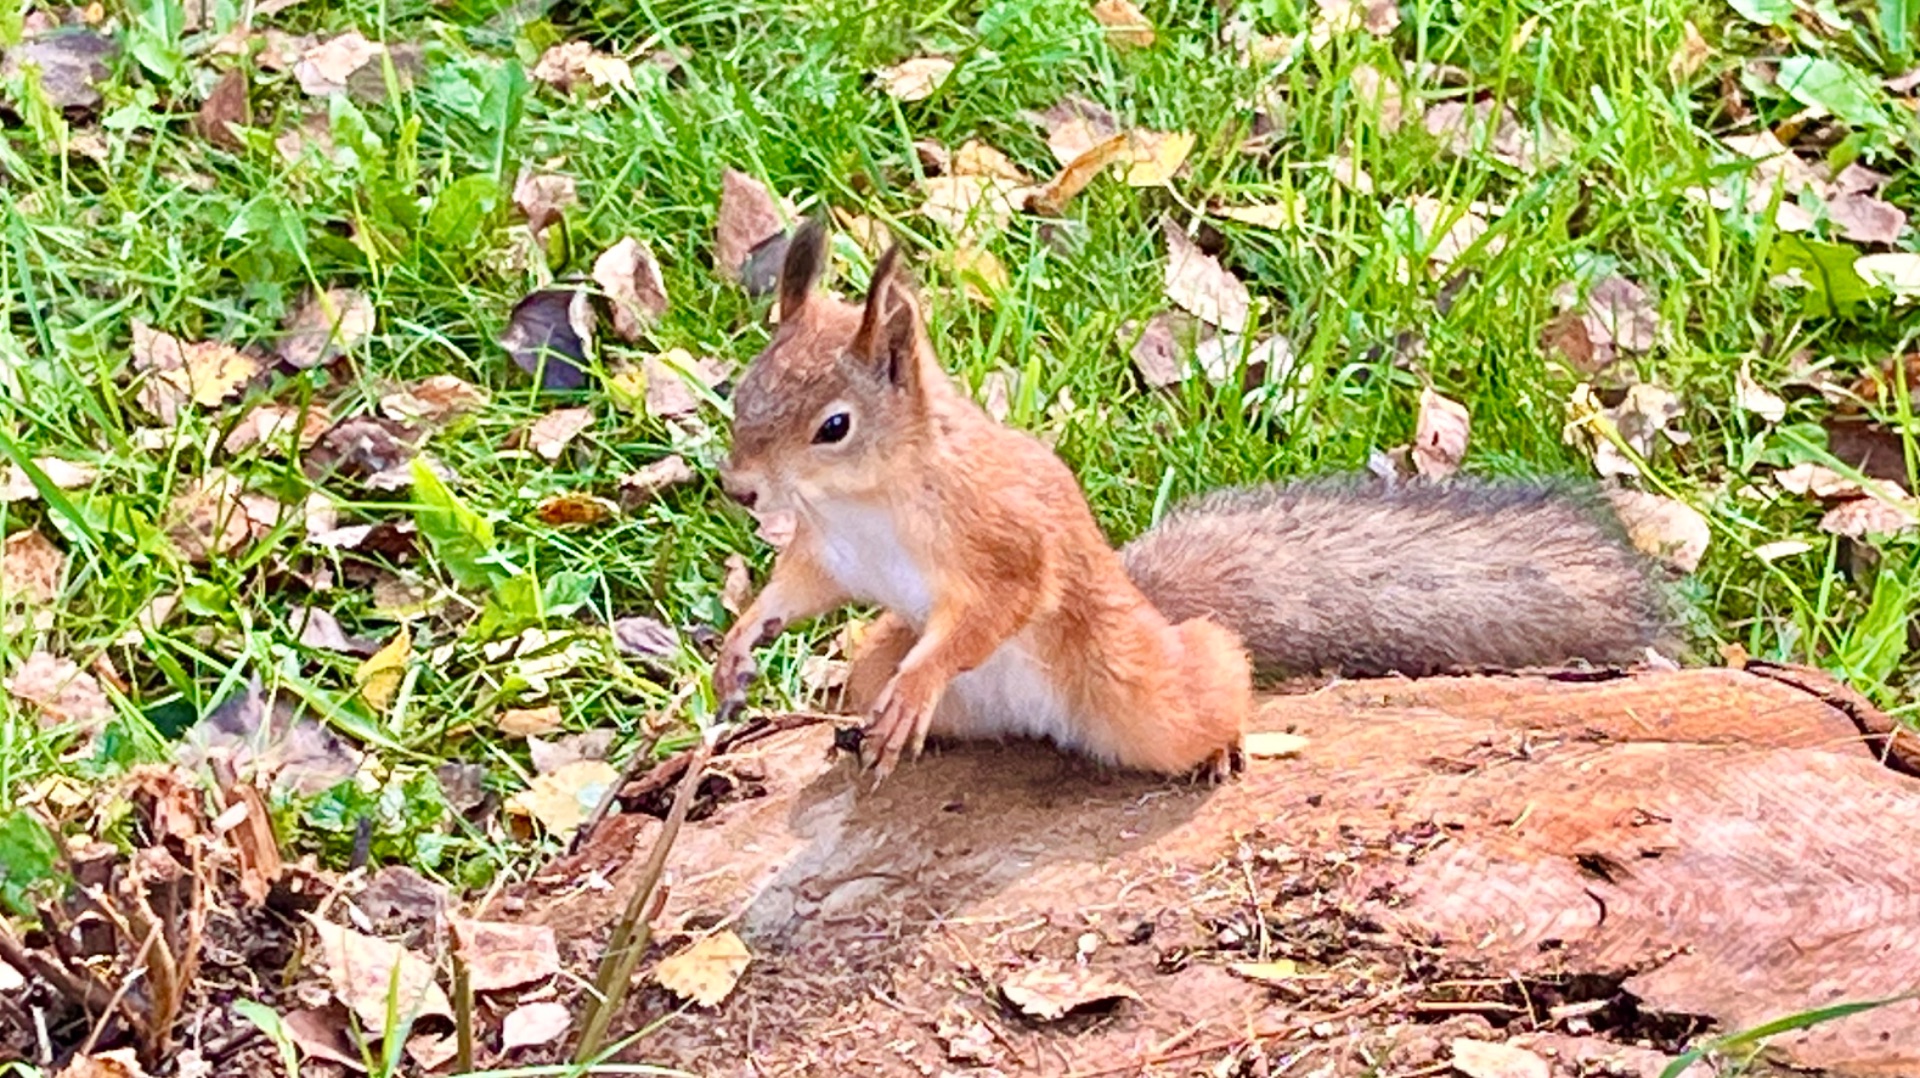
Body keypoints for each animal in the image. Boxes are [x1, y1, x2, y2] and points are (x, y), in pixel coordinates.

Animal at [712, 219, 1673, 781]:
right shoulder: (836, 552)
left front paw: (921, 680)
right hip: (882, 665)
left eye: (833, 425)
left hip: (1143, 685)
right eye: (744, 389)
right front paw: (740, 641)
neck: (870, 498)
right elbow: (799, 589)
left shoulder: (1001, 536)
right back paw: (864, 732)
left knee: (1211, 675)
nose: (739, 487)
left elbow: (997, 605)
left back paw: (1221, 743)